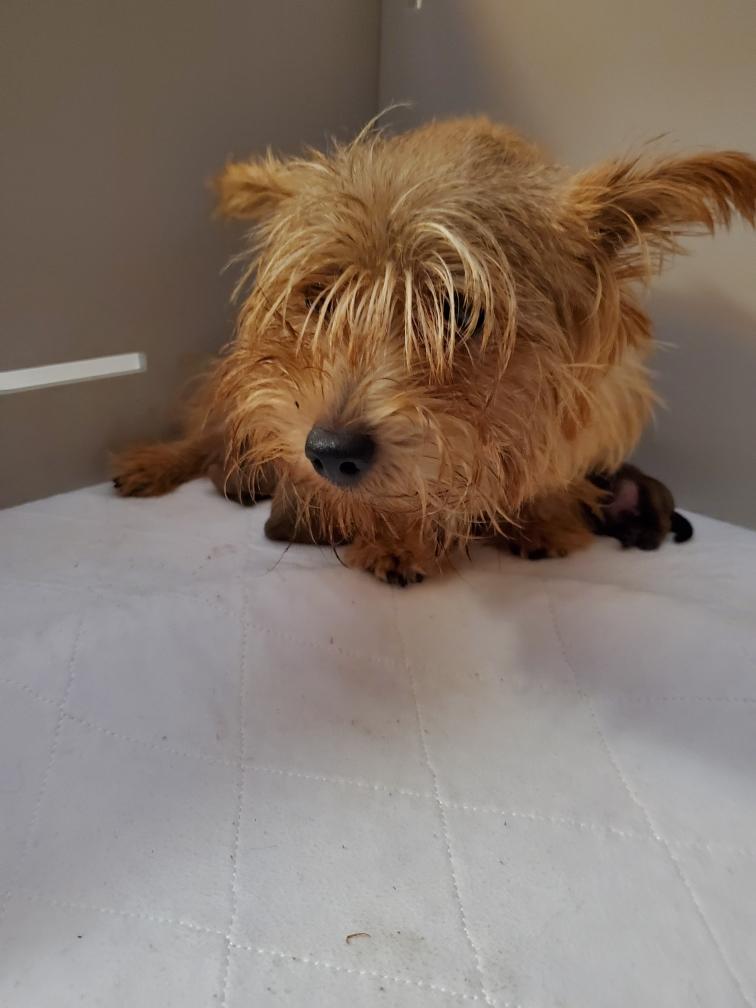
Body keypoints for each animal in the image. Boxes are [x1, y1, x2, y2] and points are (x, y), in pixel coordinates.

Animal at [113, 117, 755, 584]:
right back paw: (154, 462)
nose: (329, 452)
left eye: (458, 310)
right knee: (206, 431)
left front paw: (544, 520)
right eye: (318, 298)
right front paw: (398, 541)